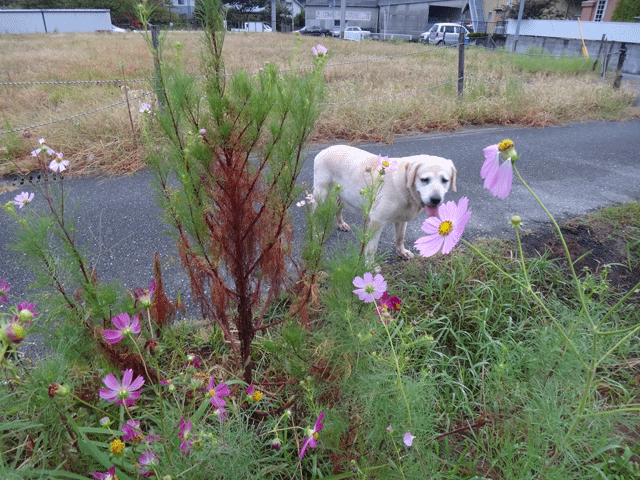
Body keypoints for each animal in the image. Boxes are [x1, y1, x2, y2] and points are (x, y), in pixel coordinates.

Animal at [314, 145, 456, 262]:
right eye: (424, 179)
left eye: (445, 180)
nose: (436, 199)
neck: (406, 185)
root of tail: (324, 150)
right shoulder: (377, 221)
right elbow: (371, 248)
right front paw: (370, 265)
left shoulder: (402, 220)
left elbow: (400, 238)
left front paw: (402, 252)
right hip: (321, 194)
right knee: (314, 215)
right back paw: (316, 233)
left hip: (343, 195)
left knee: (337, 208)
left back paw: (341, 224)